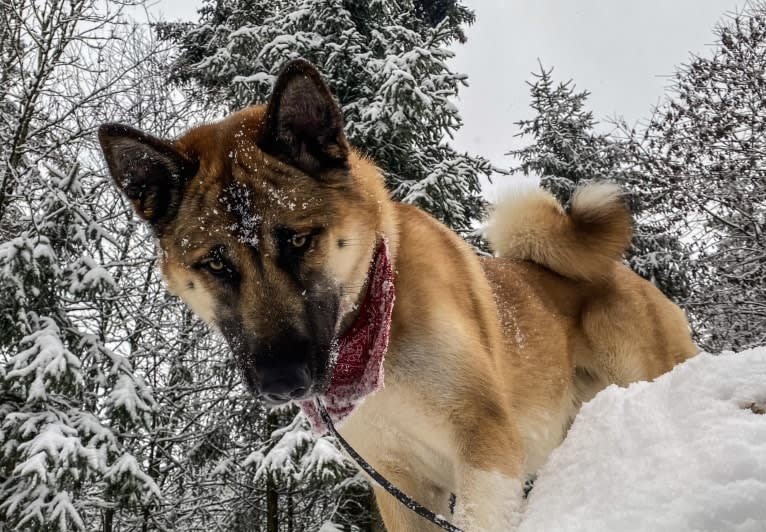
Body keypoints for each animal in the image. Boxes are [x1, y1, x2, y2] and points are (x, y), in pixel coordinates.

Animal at [99, 59, 700, 532]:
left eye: (298, 239)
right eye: (216, 263)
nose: (281, 381)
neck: (372, 332)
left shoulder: (485, 444)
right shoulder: (398, 482)